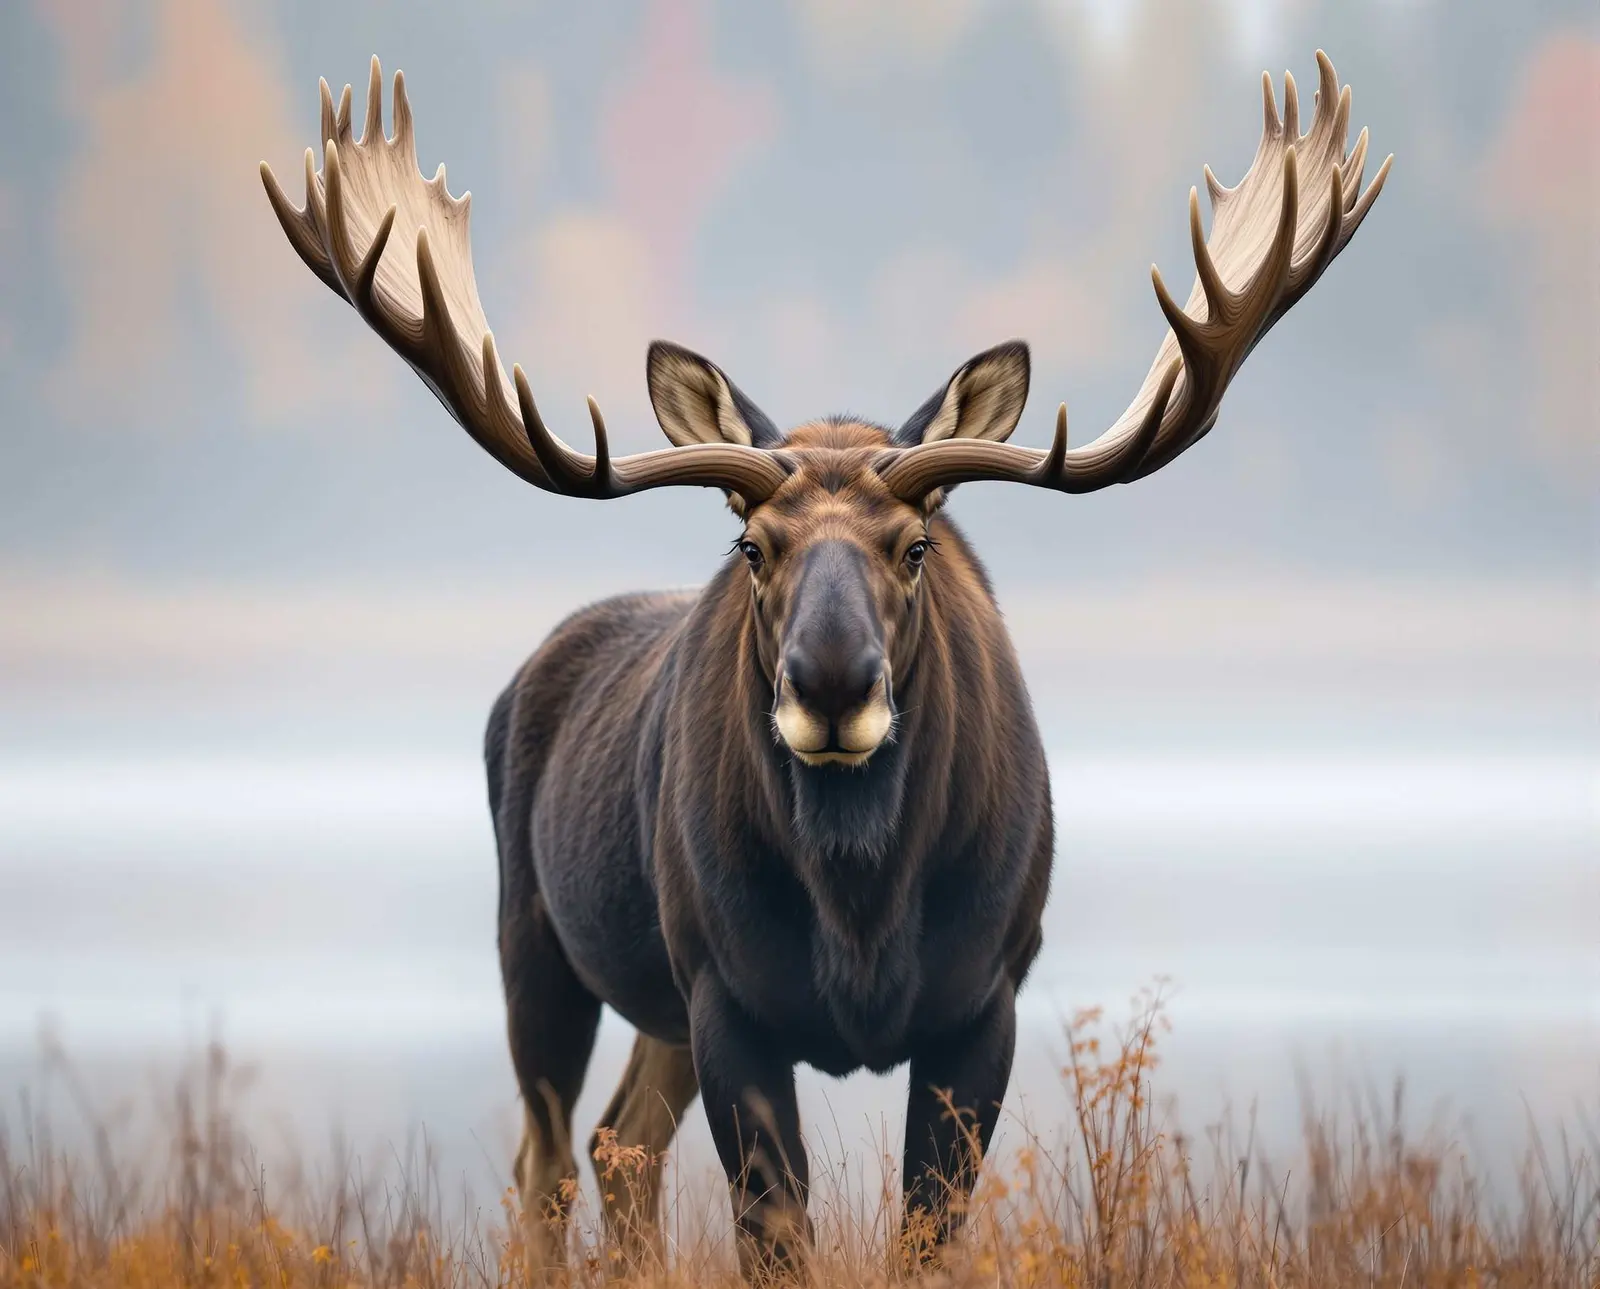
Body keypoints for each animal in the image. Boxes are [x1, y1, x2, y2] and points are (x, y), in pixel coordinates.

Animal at [262, 49, 1388, 1279]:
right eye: (754, 544)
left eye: (916, 543)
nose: (834, 685)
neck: (862, 910)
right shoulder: (726, 999)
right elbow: (776, 1235)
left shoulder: (985, 997)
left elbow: (924, 1235)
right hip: (539, 942)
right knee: (549, 1160)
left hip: (653, 1003)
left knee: (617, 1143)